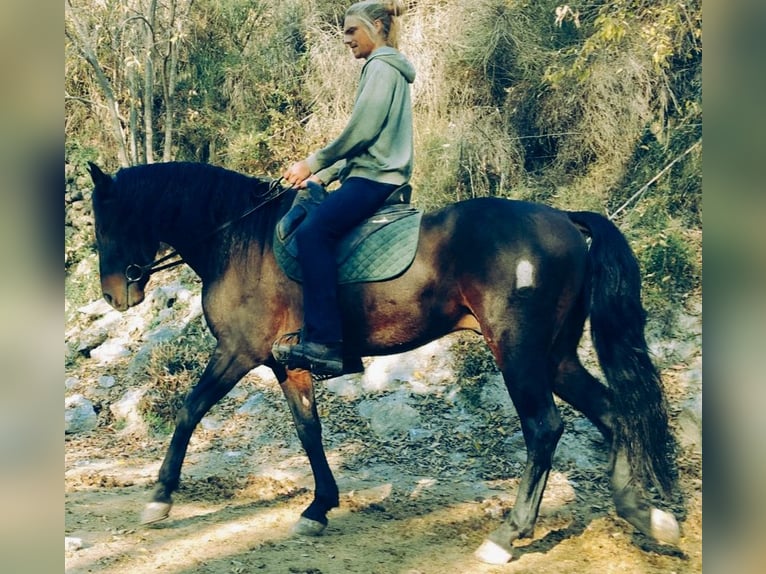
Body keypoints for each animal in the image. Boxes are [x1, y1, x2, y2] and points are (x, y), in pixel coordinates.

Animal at [86, 161, 680, 564]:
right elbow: (309, 431)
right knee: (613, 411)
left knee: (545, 427)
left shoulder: (237, 351)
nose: (115, 296)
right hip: (554, 356)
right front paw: (318, 508)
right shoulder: (285, 365)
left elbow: (189, 411)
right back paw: (645, 514)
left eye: (106, 222)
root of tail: (564, 221)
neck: (238, 241)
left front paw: (160, 498)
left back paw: (508, 535)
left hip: (519, 353)